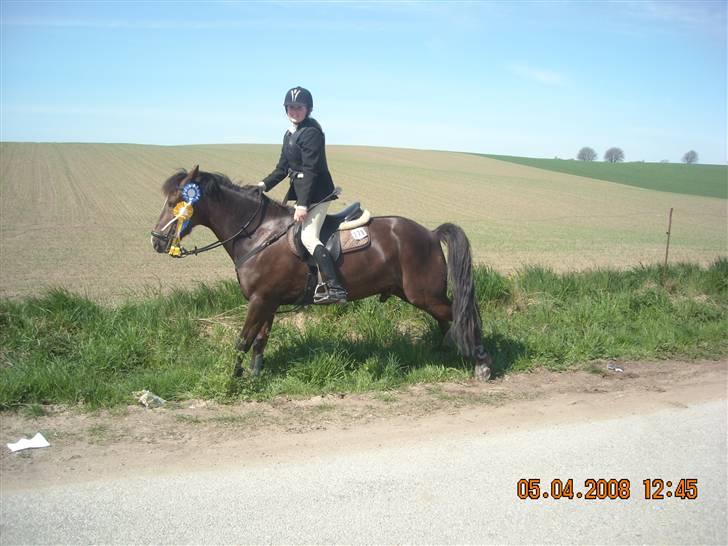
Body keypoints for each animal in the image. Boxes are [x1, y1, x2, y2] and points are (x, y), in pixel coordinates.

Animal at [152, 166, 494, 378]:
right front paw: (254, 375)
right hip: (417, 295)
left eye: (175, 202)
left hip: (425, 294)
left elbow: (243, 339)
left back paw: (482, 363)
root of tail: (431, 234)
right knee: (448, 320)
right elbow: (260, 340)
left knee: (463, 315)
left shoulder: (260, 300)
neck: (259, 234)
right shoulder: (268, 301)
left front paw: (232, 380)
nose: (156, 240)